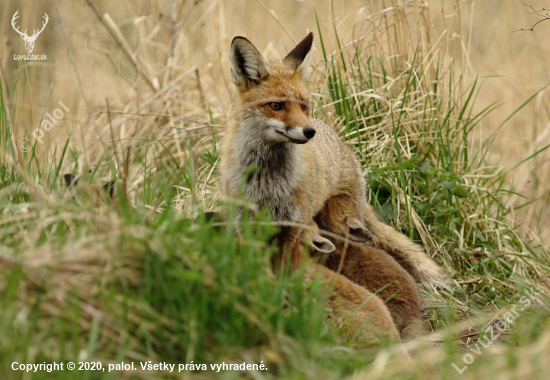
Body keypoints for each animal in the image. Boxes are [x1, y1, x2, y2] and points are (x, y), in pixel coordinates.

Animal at [218, 32, 446, 286]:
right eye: (276, 105)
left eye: (304, 106)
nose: (309, 132)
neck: (267, 180)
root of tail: (345, 147)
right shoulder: (244, 222)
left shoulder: (292, 226)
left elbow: (283, 268)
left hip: (339, 220)